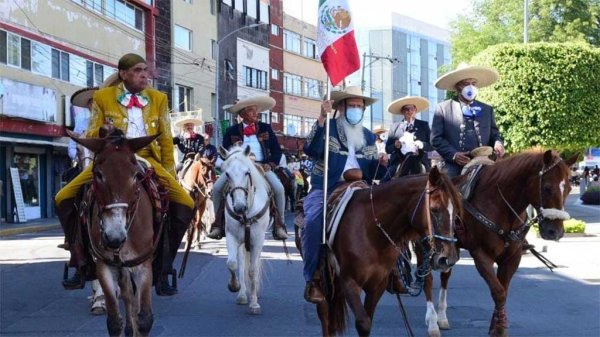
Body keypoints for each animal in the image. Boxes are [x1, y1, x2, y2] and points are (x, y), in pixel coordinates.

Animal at [67, 129, 162, 336]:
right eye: (98, 174)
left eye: (135, 175)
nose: (114, 237)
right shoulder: (105, 265)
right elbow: (114, 321)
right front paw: (101, 304)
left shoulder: (143, 265)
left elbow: (145, 319)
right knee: (127, 294)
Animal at [218, 144, 270, 316]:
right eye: (226, 174)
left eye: (247, 172)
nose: (239, 207)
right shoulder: (231, 236)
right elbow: (232, 263)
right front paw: (234, 286)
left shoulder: (257, 240)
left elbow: (253, 270)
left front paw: (254, 304)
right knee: (240, 263)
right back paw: (242, 295)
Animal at [314, 167, 464, 334]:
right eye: (434, 209)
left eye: (456, 212)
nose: (449, 258)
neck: (371, 231)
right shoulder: (349, 282)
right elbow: (363, 322)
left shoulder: (377, 285)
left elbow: (368, 320)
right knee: (325, 314)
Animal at [418, 150, 576, 336]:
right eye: (547, 188)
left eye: (569, 188)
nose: (556, 232)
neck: (500, 205)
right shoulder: (481, 255)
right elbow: (498, 292)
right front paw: (499, 329)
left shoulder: (512, 257)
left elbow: (503, 290)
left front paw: (497, 325)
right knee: (427, 279)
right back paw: (432, 322)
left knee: (445, 275)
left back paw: (442, 317)